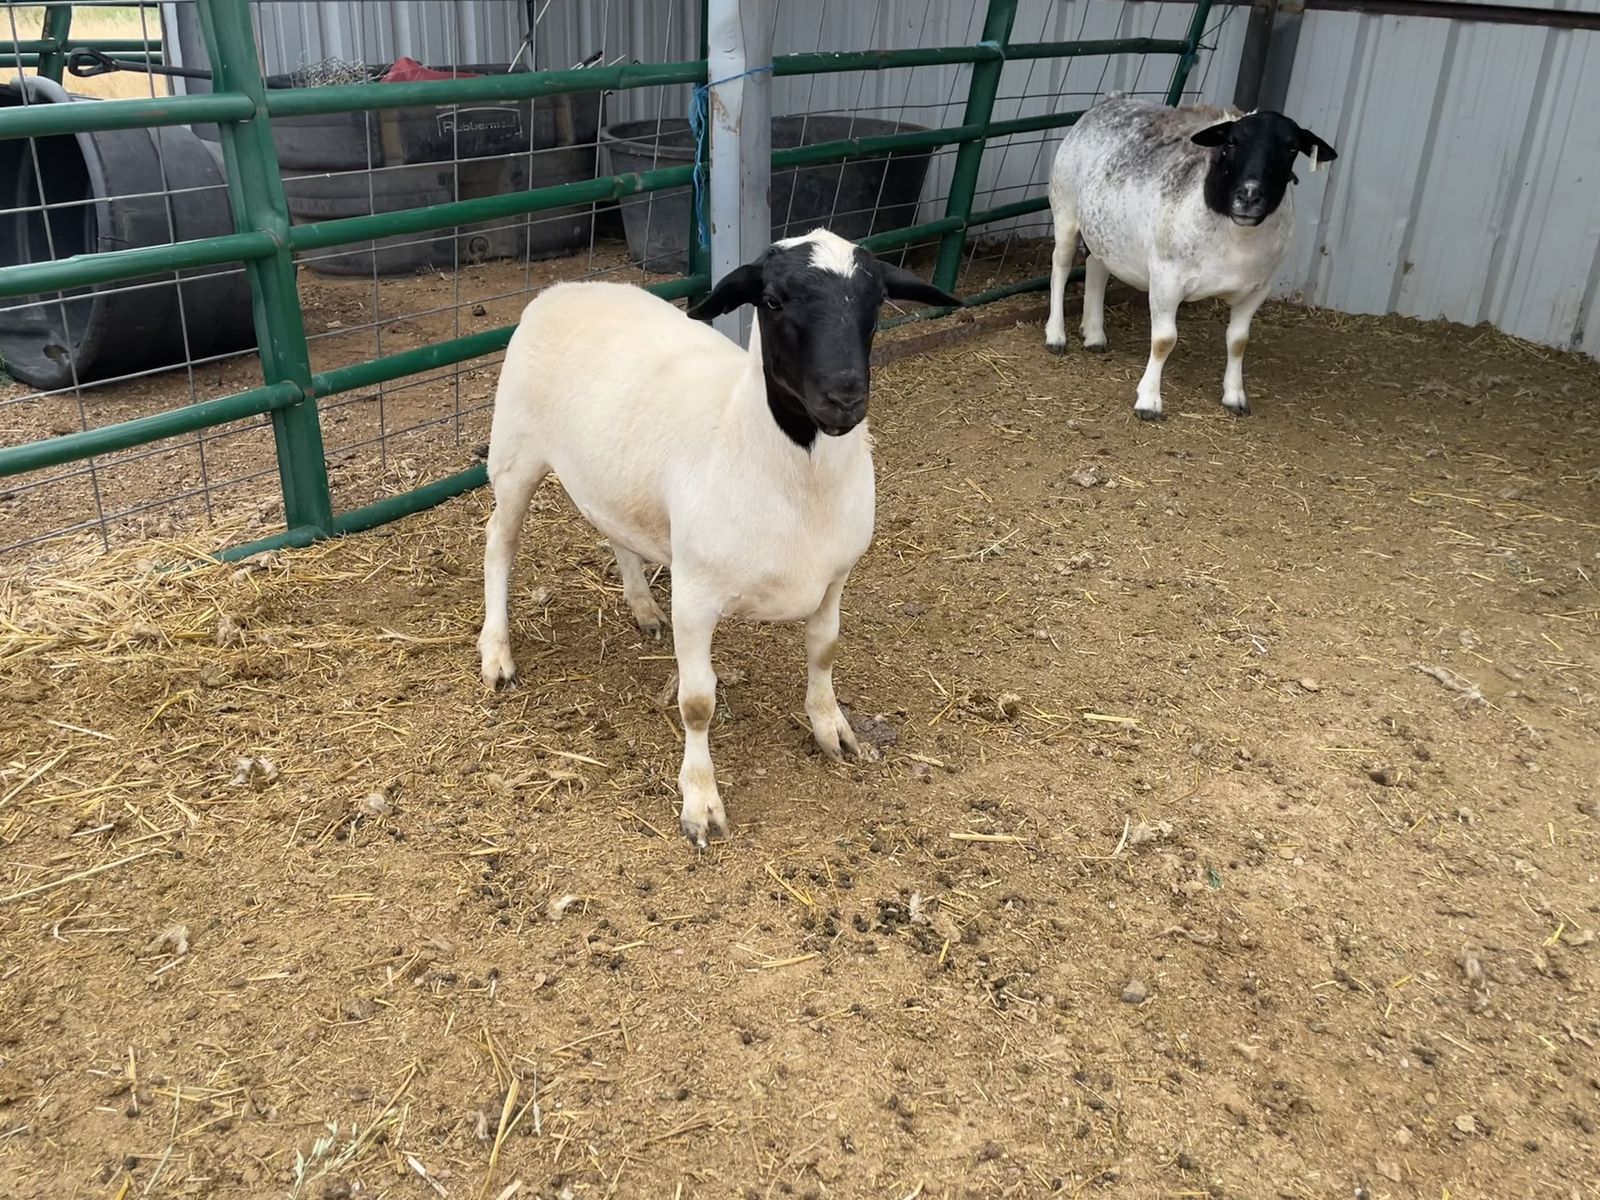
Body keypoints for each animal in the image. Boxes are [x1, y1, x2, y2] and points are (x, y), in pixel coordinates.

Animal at [477, 228, 958, 847]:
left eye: (876, 301)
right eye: (772, 301)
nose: (844, 398)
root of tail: (564, 287)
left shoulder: (835, 578)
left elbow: (824, 651)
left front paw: (833, 730)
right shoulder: (697, 595)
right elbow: (697, 703)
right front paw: (701, 803)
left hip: (613, 476)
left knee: (615, 532)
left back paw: (643, 609)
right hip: (515, 453)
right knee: (499, 542)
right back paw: (497, 654)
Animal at [1044, 93, 1337, 420]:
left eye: (1291, 148)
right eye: (1231, 142)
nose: (1249, 196)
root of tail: (1111, 100)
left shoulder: (1258, 288)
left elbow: (1239, 341)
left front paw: (1235, 396)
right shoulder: (1166, 278)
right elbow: (1164, 340)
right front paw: (1149, 400)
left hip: (1104, 230)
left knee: (1097, 266)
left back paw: (1094, 334)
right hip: (1065, 209)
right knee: (1060, 268)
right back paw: (1056, 335)